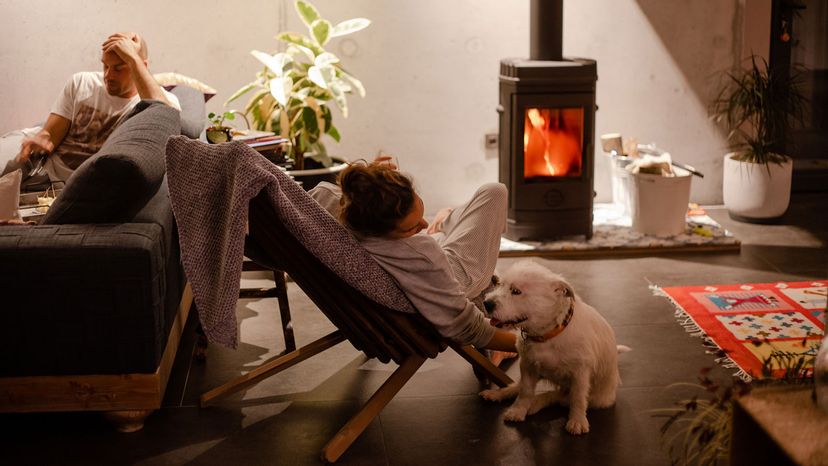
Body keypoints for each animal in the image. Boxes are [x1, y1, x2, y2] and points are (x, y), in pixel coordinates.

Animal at [478, 260, 628, 436]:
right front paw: (518, 410)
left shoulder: (580, 374)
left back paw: (536, 403)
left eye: (516, 291)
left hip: (598, 398)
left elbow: (578, 398)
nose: (487, 304)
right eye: (500, 285)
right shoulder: (528, 366)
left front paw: (577, 420)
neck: (547, 335)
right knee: (520, 387)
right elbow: (525, 391)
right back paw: (498, 394)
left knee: (559, 396)